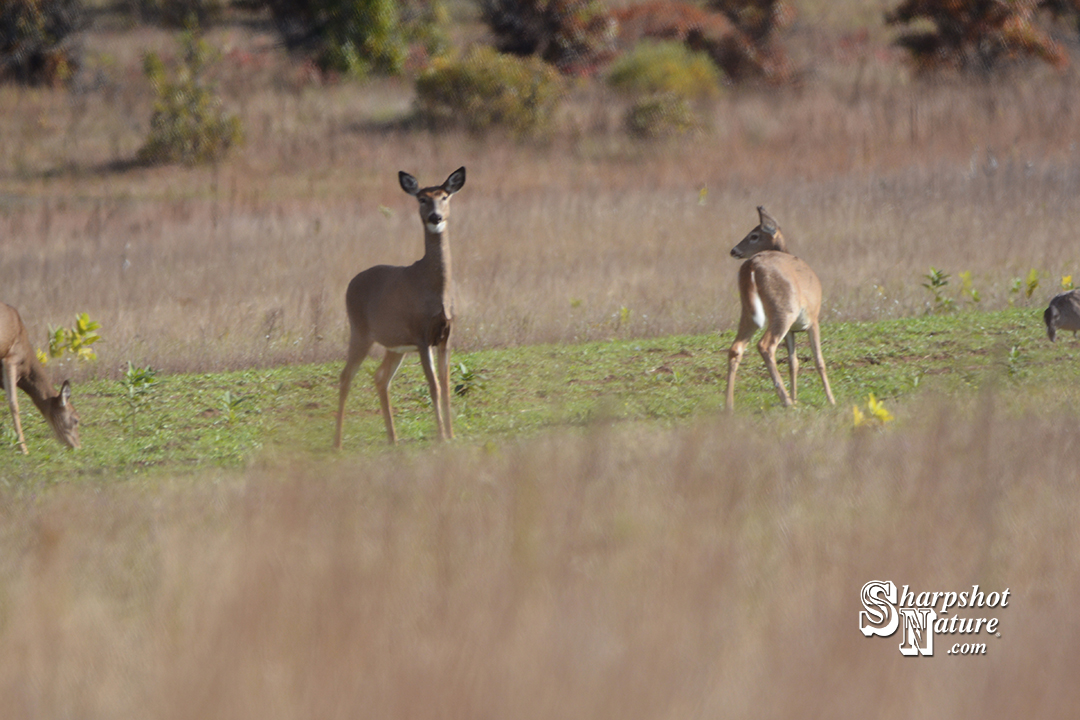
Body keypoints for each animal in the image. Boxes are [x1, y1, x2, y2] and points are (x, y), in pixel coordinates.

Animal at [334, 167, 466, 448]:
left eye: (445, 196)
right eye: (422, 198)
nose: (435, 217)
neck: (437, 291)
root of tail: (351, 283)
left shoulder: (446, 335)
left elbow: (447, 384)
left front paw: (451, 434)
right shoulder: (420, 335)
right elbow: (434, 386)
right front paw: (441, 435)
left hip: (394, 346)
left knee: (380, 377)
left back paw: (392, 437)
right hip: (360, 331)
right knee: (346, 376)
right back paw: (337, 442)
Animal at [725, 206, 835, 411]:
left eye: (754, 235)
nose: (734, 250)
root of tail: (752, 264)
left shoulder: (792, 330)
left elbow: (794, 363)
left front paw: (796, 397)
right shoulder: (813, 320)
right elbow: (819, 360)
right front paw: (831, 400)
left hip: (749, 310)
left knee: (736, 348)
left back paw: (729, 406)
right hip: (784, 310)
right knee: (765, 345)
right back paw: (786, 401)